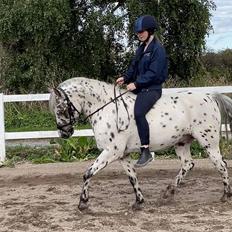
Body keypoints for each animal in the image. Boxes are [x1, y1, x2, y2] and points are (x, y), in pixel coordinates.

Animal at [49, 77, 232, 210]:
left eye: (60, 109)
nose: (64, 133)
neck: (106, 109)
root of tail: (210, 96)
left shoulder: (111, 151)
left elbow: (88, 173)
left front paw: (83, 202)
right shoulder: (122, 155)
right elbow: (132, 177)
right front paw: (139, 201)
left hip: (209, 142)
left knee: (221, 165)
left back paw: (225, 195)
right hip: (181, 142)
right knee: (188, 164)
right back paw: (169, 192)